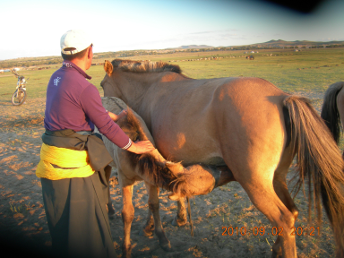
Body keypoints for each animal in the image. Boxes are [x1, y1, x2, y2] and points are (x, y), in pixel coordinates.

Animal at [101, 59, 344, 258]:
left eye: (102, 85)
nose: (103, 105)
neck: (149, 90)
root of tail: (283, 97)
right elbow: (174, 190)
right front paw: (177, 218)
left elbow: (158, 197)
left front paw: (152, 227)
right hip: (276, 178)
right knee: (292, 213)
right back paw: (277, 249)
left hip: (254, 183)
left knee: (284, 220)